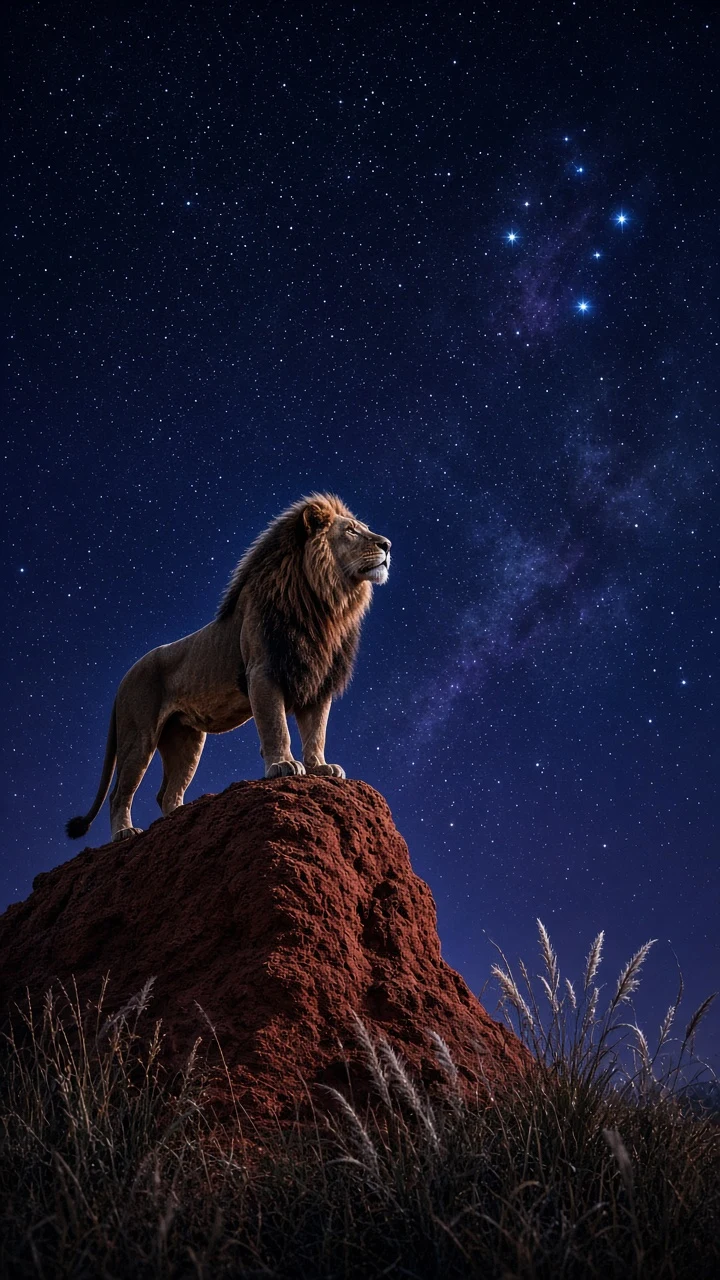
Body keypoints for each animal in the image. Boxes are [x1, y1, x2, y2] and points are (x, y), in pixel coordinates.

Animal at [66, 494, 391, 842]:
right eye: (351, 530)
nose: (387, 545)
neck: (324, 603)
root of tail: (123, 680)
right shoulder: (262, 673)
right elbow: (276, 726)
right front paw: (283, 765)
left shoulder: (316, 680)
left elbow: (316, 732)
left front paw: (321, 767)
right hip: (138, 735)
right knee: (119, 793)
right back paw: (125, 832)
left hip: (186, 739)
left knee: (166, 792)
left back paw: (181, 818)